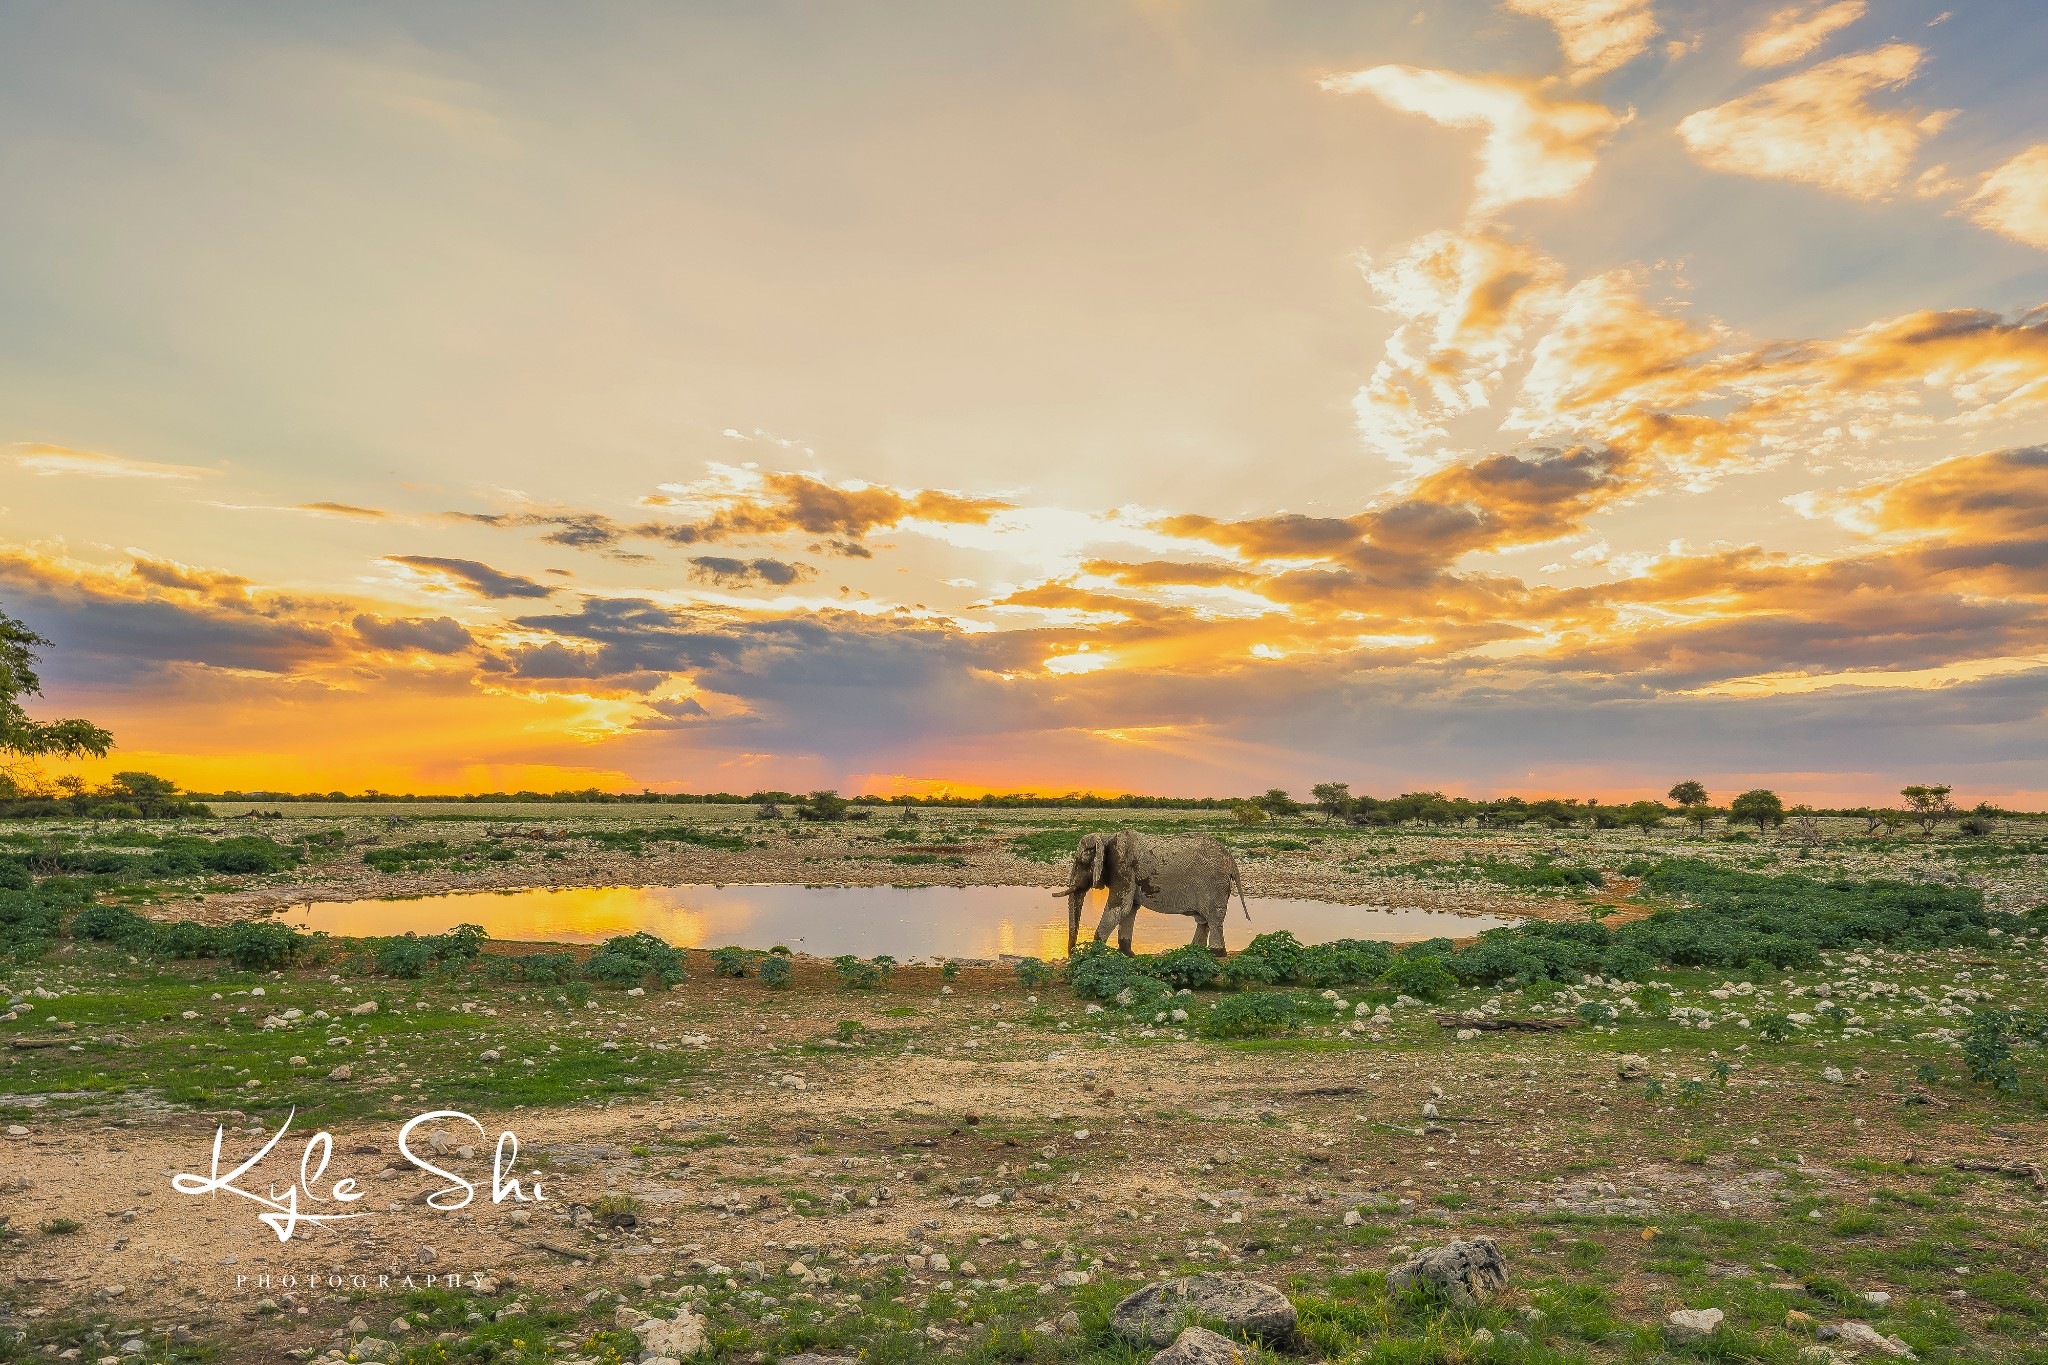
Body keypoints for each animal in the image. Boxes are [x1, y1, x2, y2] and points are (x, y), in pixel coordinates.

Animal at [1056, 826, 1245, 957]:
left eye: (1082, 861)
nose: (1072, 954)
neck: (1106, 836)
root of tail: (1231, 859)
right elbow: (1129, 911)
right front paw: (1127, 954)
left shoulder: (1123, 867)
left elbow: (1119, 908)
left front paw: (1094, 953)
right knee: (1204, 920)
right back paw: (1194, 951)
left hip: (1214, 884)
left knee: (1213, 918)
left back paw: (1217, 953)